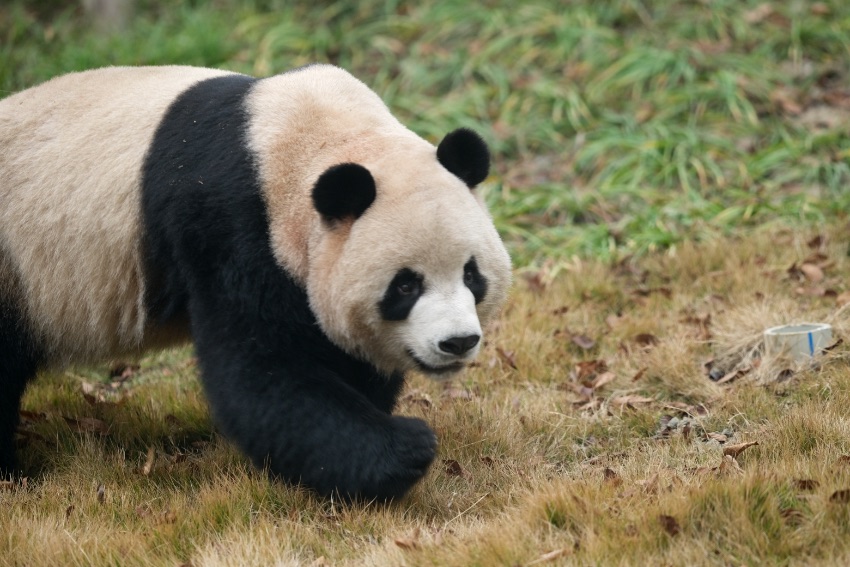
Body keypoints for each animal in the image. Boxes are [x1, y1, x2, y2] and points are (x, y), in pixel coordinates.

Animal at [0, 65, 510, 502]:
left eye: (471, 274)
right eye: (405, 287)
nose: (457, 342)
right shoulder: (228, 225)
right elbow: (260, 369)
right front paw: (404, 447)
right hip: (16, 265)